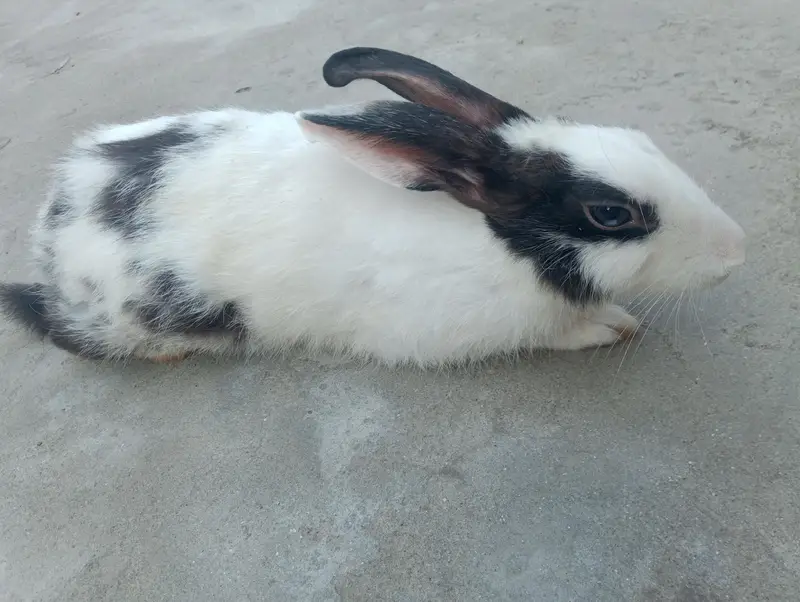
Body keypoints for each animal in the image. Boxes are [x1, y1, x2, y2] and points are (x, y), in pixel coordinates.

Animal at [0, 47, 746, 366]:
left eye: (641, 140)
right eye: (610, 216)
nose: (734, 250)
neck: (496, 245)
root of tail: (51, 224)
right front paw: (609, 328)